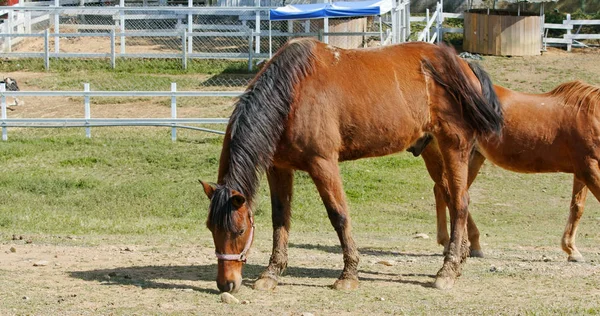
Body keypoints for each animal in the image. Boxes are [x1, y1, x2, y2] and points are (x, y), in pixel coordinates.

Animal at [199, 37, 504, 294]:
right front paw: (271, 274)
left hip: (455, 145)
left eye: (239, 231)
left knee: (461, 202)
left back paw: (447, 271)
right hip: (433, 150)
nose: (226, 284)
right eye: (210, 228)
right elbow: (280, 219)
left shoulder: (323, 164)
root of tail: (463, 64)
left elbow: (339, 216)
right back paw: (458, 260)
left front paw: (348, 275)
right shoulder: (279, 168)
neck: (293, 91)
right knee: (452, 197)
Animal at [418, 77, 600, 264]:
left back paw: (462, 244)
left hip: (472, 157)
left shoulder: (582, 170)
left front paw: (571, 250)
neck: (592, 113)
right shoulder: (588, 168)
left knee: (444, 191)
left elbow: (577, 207)